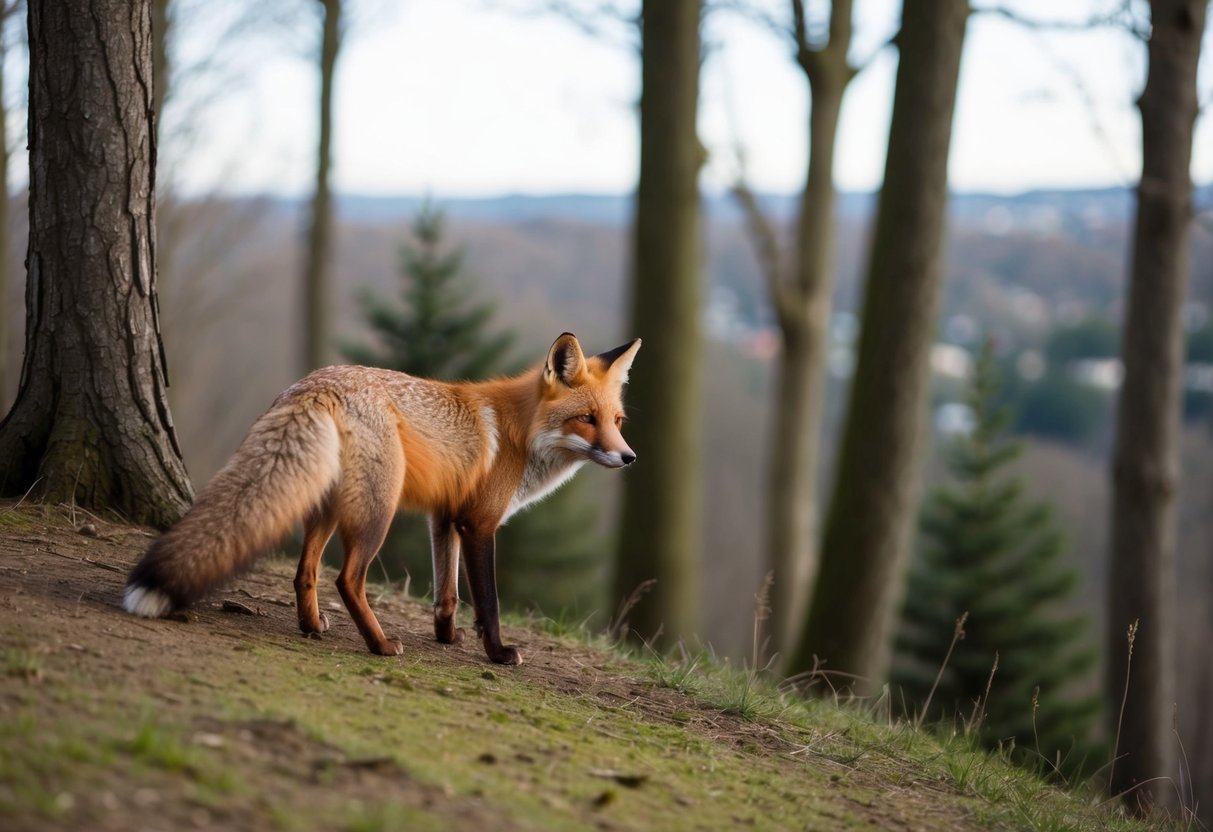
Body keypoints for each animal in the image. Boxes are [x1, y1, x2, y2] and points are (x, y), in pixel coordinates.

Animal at [123, 332, 640, 665]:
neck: (521, 434)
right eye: (586, 419)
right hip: (378, 511)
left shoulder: (444, 517)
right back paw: (380, 646)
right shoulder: (479, 524)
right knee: (347, 579)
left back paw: (312, 626)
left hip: (329, 506)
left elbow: (447, 593)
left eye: (617, 420)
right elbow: (488, 603)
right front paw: (496, 653)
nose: (629, 457)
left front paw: (447, 637)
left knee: (305, 571)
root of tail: (315, 383)